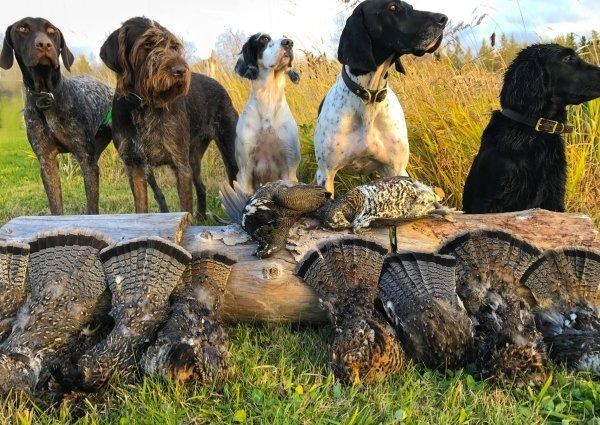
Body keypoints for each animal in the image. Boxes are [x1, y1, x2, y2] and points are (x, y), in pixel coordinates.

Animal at [0, 17, 113, 215]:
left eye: (51, 30)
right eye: (22, 28)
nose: (44, 44)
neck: (48, 97)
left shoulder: (86, 161)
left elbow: (92, 207)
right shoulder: (47, 162)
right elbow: (56, 208)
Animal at [100, 17, 239, 218]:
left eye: (173, 47)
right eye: (148, 44)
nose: (180, 70)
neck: (143, 106)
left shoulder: (180, 164)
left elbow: (185, 209)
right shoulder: (135, 166)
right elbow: (141, 208)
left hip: (229, 155)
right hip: (193, 160)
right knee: (202, 187)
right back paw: (202, 216)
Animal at [314, 0, 447, 195]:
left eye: (411, 6)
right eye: (392, 7)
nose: (443, 19)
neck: (369, 97)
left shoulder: (396, 169)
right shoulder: (326, 173)